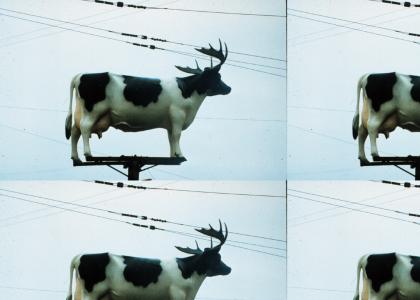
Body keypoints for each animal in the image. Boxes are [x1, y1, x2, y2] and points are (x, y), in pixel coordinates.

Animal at [66, 41, 231, 162]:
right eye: (218, 77)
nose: (228, 88)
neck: (187, 91)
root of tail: (81, 75)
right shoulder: (178, 114)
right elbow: (177, 135)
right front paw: (181, 155)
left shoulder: (170, 121)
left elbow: (171, 137)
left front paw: (173, 155)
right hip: (93, 109)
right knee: (85, 128)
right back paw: (88, 154)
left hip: (81, 111)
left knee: (75, 131)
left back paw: (76, 157)